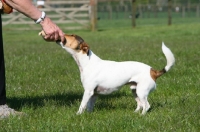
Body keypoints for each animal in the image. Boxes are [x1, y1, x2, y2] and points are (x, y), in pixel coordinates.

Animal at [39, 31, 175, 114]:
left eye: (72, 35)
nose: (60, 34)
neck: (87, 62)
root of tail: (153, 71)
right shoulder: (94, 94)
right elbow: (89, 106)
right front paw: (88, 115)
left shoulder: (88, 91)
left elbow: (82, 105)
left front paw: (78, 114)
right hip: (135, 90)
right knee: (140, 104)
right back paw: (135, 113)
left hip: (141, 91)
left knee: (146, 106)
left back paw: (142, 116)